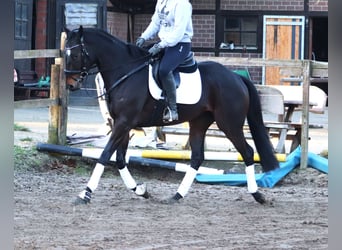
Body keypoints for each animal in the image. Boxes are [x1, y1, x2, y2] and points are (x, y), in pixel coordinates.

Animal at [63, 25, 278, 205]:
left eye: (75, 54)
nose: (71, 85)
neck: (125, 71)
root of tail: (236, 78)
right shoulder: (121, 123)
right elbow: (120, 159)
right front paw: (140, 190)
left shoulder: (124, 122)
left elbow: (105, 155)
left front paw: (85, 193)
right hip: (199, 122)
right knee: (197, 157)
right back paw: (177, 195)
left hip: (229, 124)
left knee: (247, 152)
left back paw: (257, 195)